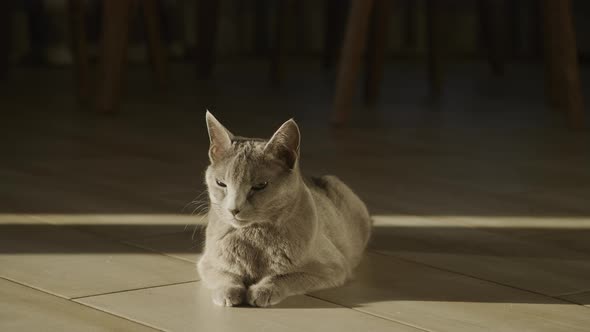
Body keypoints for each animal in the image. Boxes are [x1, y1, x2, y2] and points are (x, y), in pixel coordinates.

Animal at [199, 111, 374, 306]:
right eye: (221, 183)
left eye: (260, 186)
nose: (233, 209)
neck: (253, 235)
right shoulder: (207, 261)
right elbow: (225, 274)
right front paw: (228, 292)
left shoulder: (331, 268)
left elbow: (284, 276)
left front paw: (262, 291)